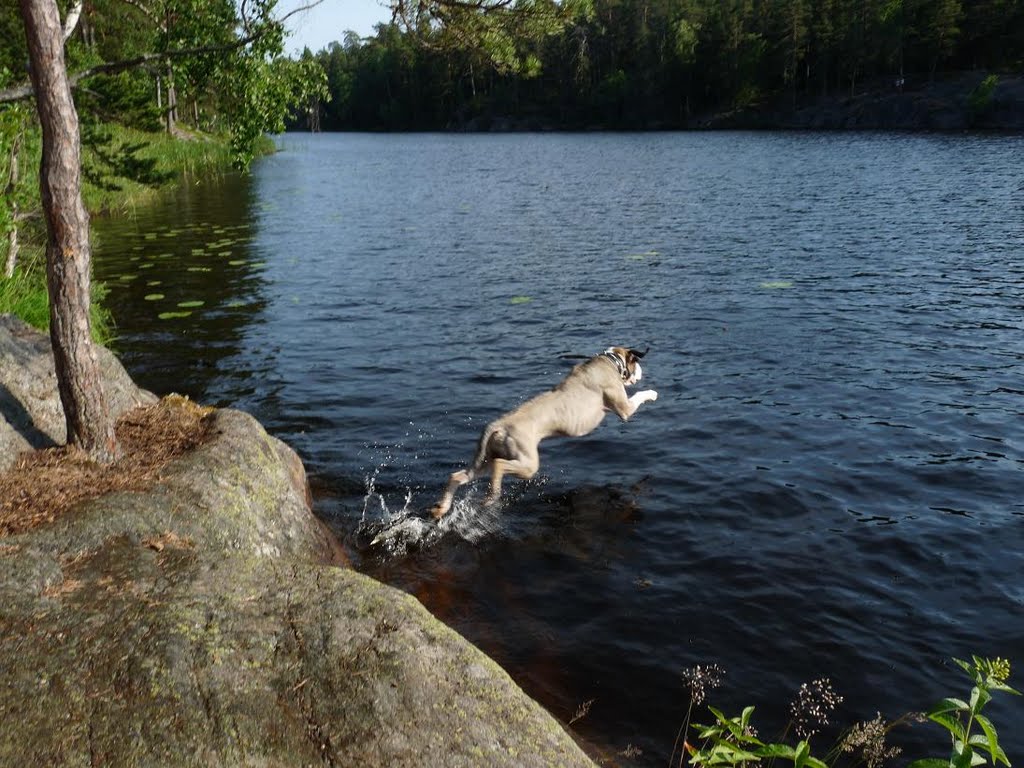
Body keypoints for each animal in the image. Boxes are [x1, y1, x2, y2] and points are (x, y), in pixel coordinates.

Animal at [430, 348, 655, 518]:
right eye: (636, 362)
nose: (642, 372)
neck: (610, 361)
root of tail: (498, 425)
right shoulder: (625, 409)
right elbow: (640, 396)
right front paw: (653, 394)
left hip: (485, 460)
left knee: (457, 476)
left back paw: (442, 508)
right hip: (526, 464)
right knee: (499, 466)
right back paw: (491, 497)